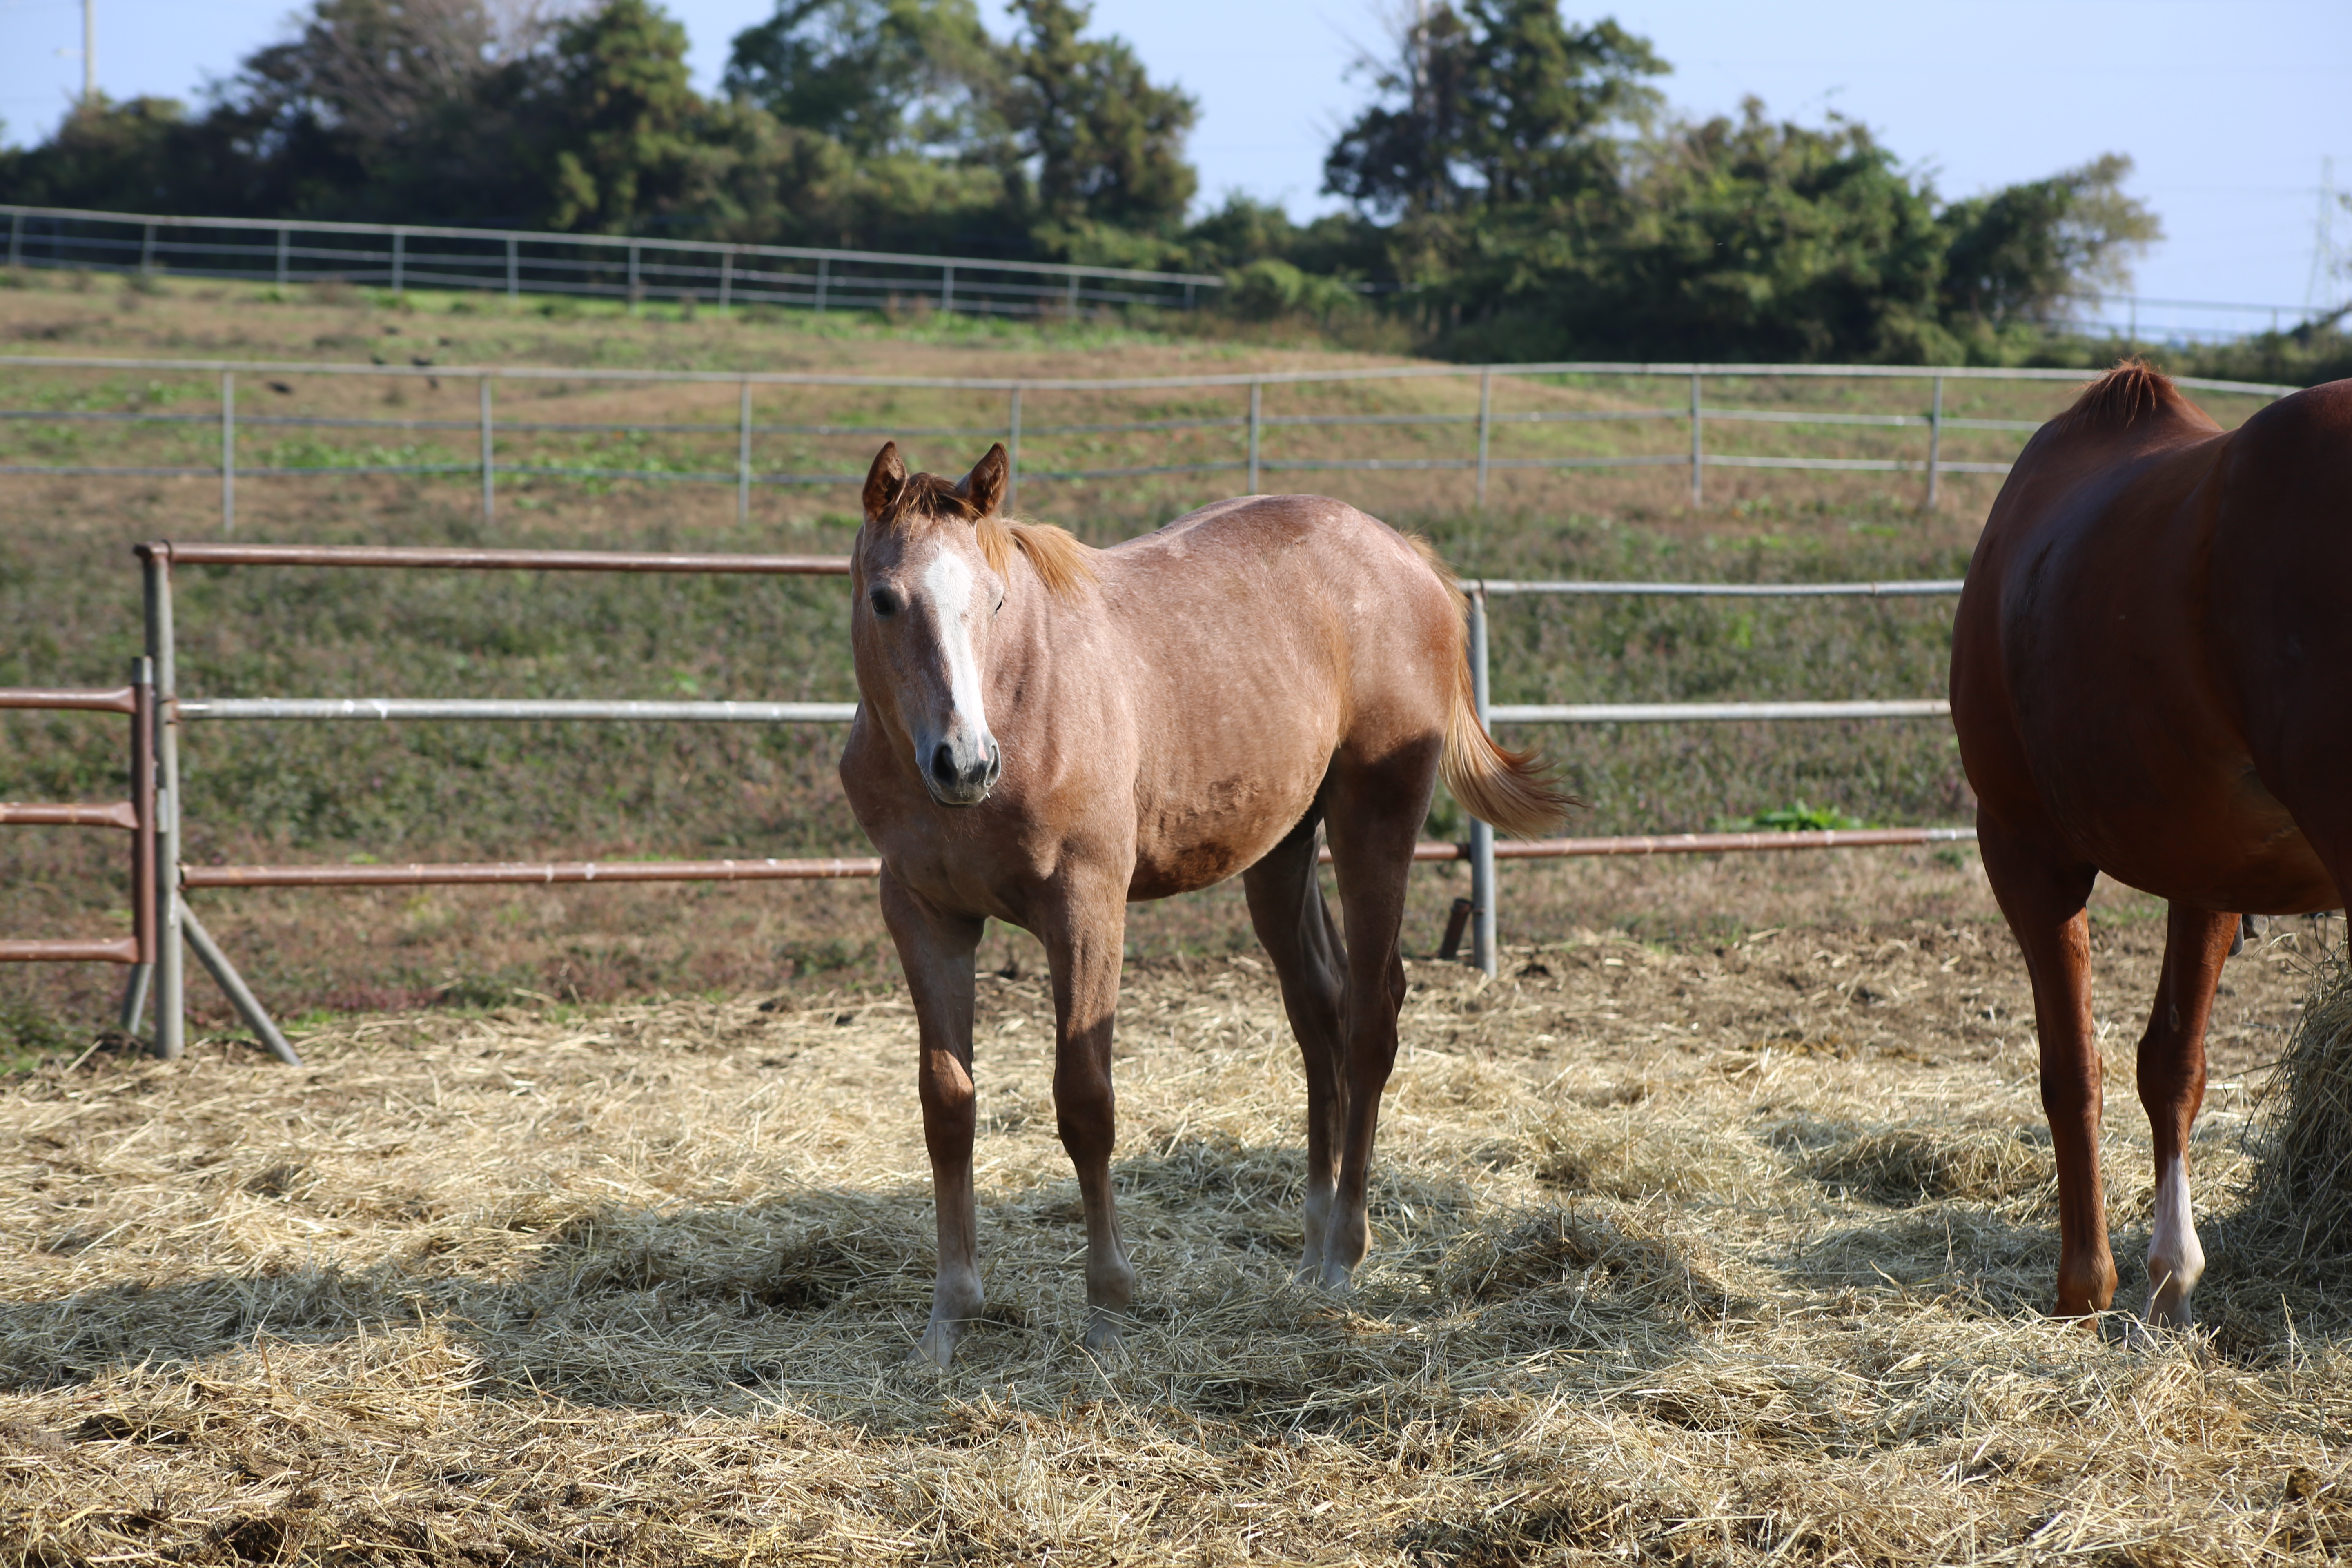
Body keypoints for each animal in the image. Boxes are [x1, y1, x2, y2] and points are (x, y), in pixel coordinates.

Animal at [837, 442, 1571, 1363]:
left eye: (995, 600)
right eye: (885, 598)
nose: (965, 763)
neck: (1021, 694)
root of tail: (1404, 554)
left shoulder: (1086, 906)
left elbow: (1085, 1103)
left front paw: (1109, 1311)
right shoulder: (923, 915)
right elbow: (948, 1107)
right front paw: (949, 1320)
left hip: (1375, 821)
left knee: (1373, 1016)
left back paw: (1344, 1255)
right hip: (1281, 851)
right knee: (1321, 1013)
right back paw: (1311, 1249)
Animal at [1947, 364, 2352, 1326]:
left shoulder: (2023, 851)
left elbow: (2072, 1069)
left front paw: (2085, 1286)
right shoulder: (2211, 871)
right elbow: (2172, 1064)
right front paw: (2171, 1272)